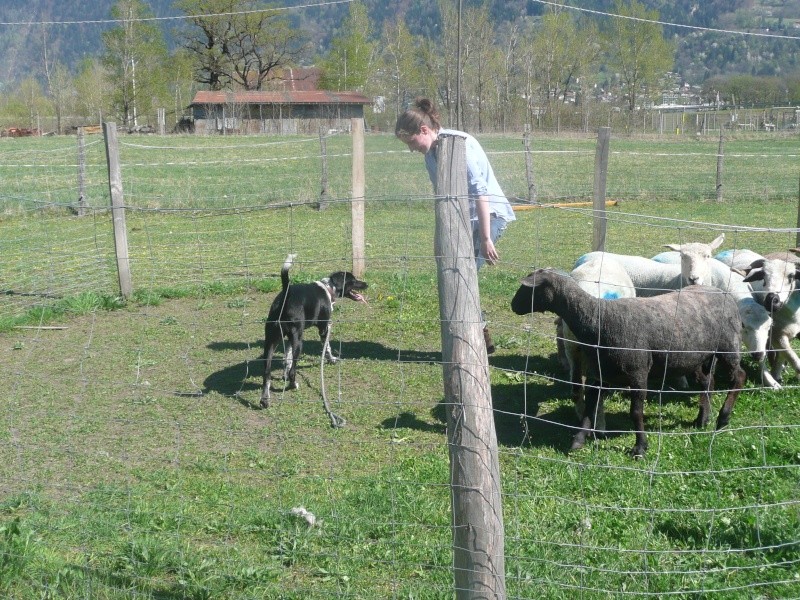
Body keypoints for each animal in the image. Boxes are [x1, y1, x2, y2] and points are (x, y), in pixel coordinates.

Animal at [260, 251, 368, 410]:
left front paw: (283, 375)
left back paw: (265, 400)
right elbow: (327, 347)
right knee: (293, 371)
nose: (366, 284)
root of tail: (286, 294)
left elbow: (287, 358)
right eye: (353, 280)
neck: (328, 288)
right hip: (299, 341)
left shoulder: (289, 339)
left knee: (266, 373)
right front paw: (332, 360)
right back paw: (293, 385)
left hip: (271, 342)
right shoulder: (324, 328)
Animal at [510, 270, 748, 458]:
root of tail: (724, 295)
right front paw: (578, 440)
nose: (513, 306)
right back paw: (702, 419)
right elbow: (589, 408)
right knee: (708, 382)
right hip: (695, 357)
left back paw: (723, 418)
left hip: (728, 346)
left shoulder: (638, 373)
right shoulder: (599, 375)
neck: (600, 320)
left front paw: (640, 447)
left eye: (527, 289)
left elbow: (635, 412)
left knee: (739, 377)